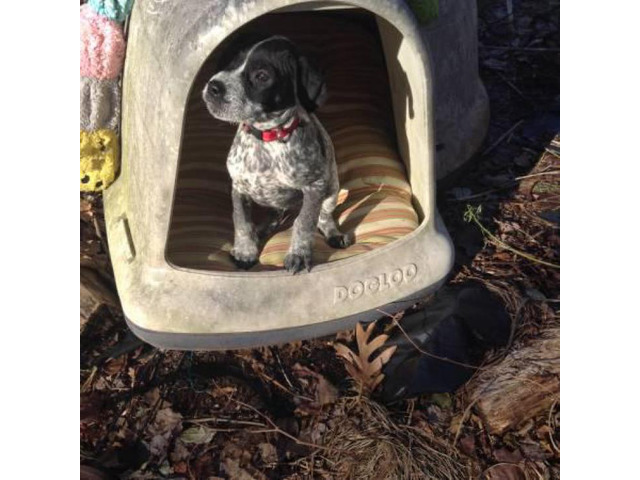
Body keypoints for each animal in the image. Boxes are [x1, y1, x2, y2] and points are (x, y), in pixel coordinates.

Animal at [201, 36, 350, 274]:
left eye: (262, 76)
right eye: (233, 62)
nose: (214, 86)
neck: (266, 138)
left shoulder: (315, 187)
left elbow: (304, 223)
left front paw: (299, 254)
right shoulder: (238, 187)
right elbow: (241, 222)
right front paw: (245, 251)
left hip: (332, 191)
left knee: (324, 217)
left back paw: (333, 234)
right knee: (274, 215)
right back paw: (261, 230)